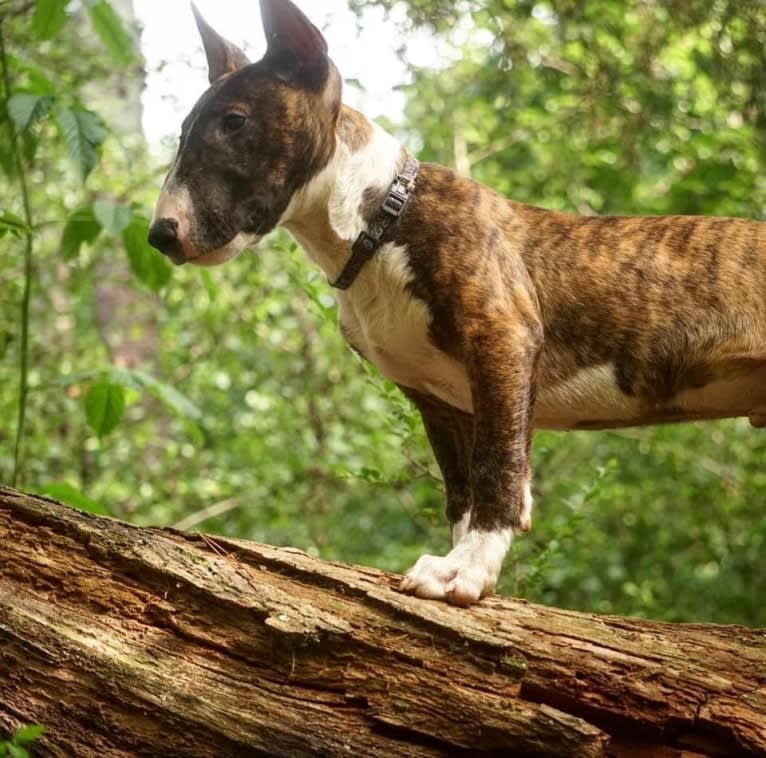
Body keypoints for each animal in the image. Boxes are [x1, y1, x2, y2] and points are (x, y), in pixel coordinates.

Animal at [150, 0, 766, 604]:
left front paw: (465, 571)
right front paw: (467, 558)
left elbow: (498, 469)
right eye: (181, 133)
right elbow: (461, 491)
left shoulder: (503, 338)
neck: (380, 220)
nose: (160, 234)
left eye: (234, 121)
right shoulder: (438, 398)